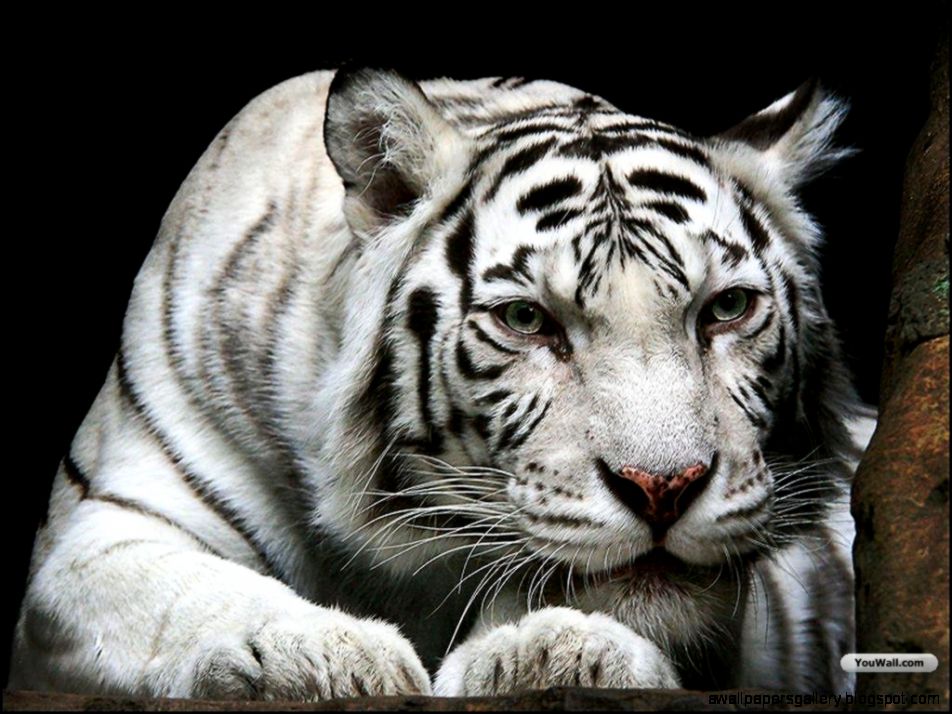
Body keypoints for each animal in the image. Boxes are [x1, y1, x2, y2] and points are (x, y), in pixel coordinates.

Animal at [10, 67, 876, 700]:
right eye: (527, 319)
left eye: (726, 308)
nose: (664, 488)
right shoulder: (105, 525)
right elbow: (184, 593)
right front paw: (319, 656)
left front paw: (551, 648)